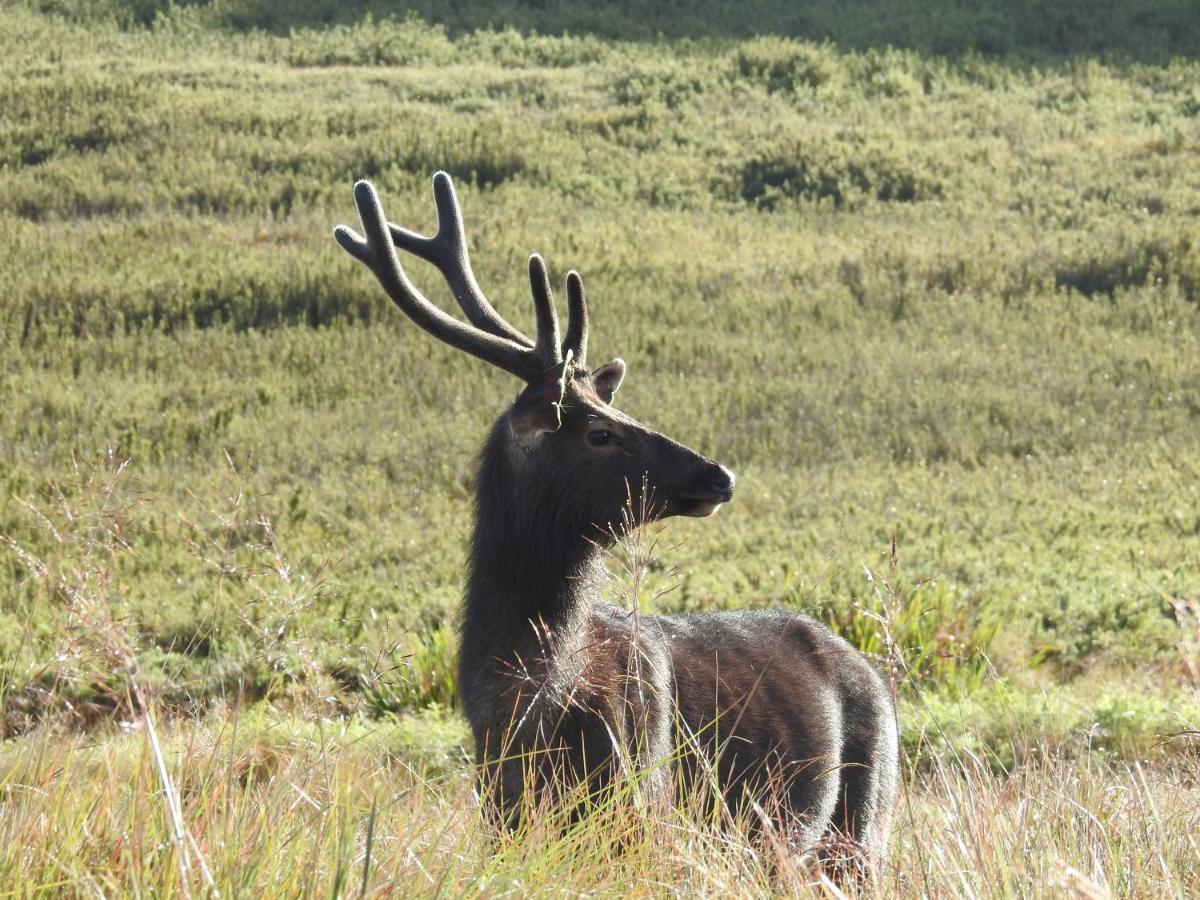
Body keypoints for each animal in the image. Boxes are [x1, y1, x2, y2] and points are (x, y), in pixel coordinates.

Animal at [333, 170, 897, 868]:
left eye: (617, 410)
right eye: (600, 431)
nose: (719, 475)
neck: (527, 711)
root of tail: (873, 673)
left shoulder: (645, 808)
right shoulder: (501, 816)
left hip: (863, 823)